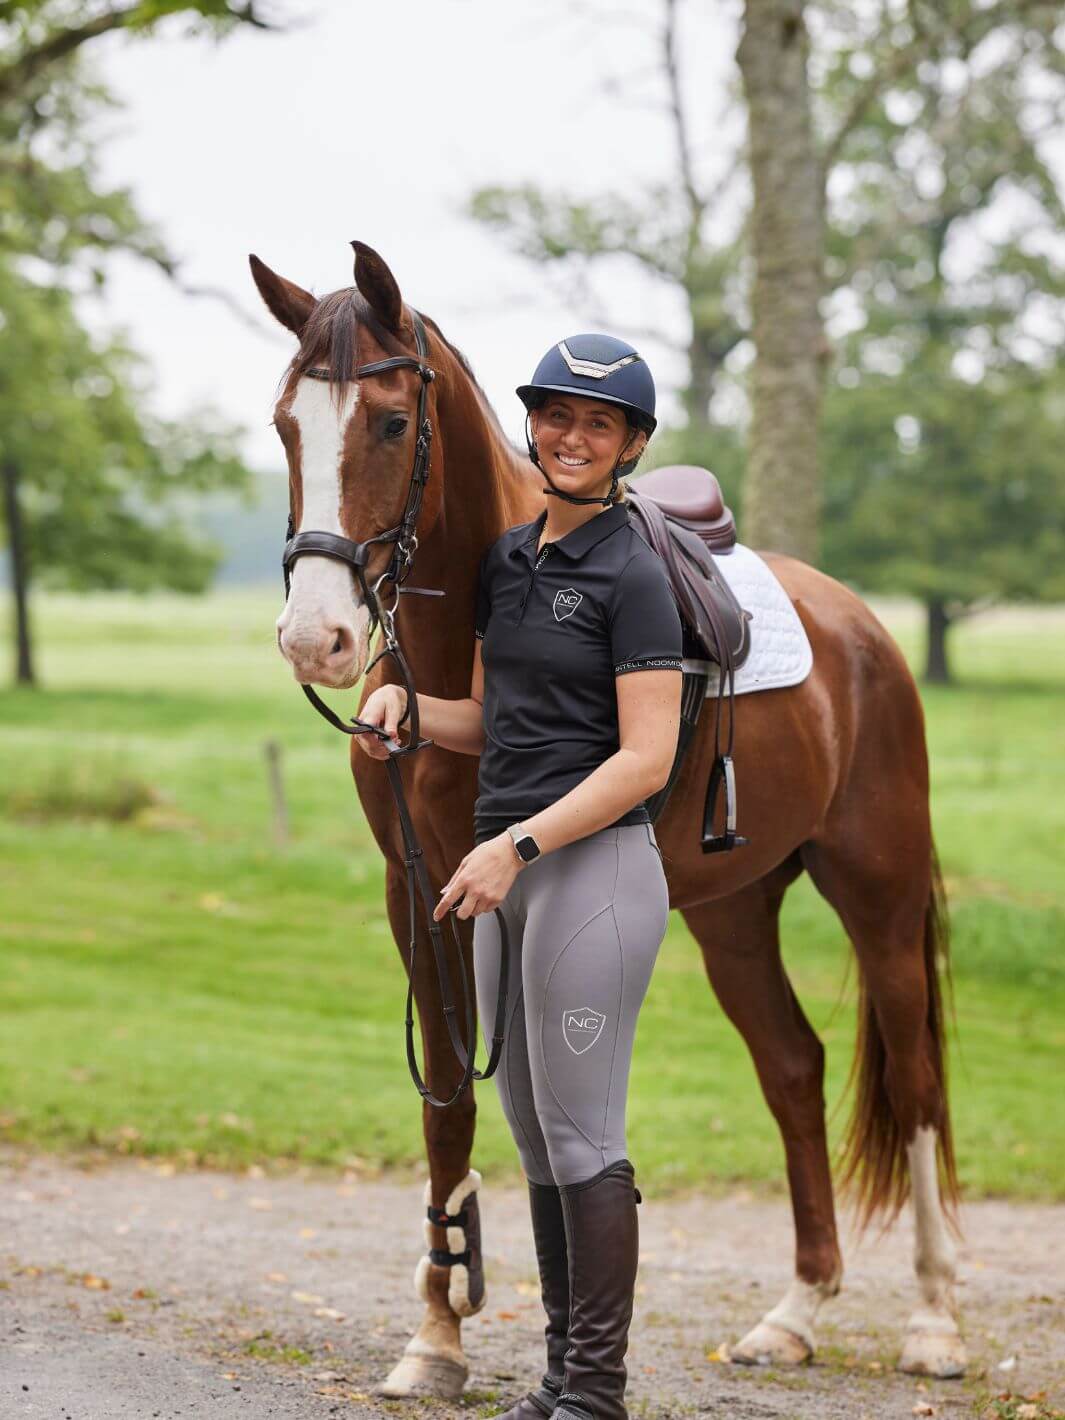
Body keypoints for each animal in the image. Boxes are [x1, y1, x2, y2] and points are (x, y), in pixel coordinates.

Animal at [249, 241, 965, 1397]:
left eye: (393, 423)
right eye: (285, 424)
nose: (317, 639)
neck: (470, 643)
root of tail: (861, 632)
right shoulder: (420, 889)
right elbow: (450, 1097)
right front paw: (436, 1335)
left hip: (881, 897)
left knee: (917, 1078)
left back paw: (936, 1321)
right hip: (731, 912)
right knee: (794, 1069)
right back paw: (796, 1310)